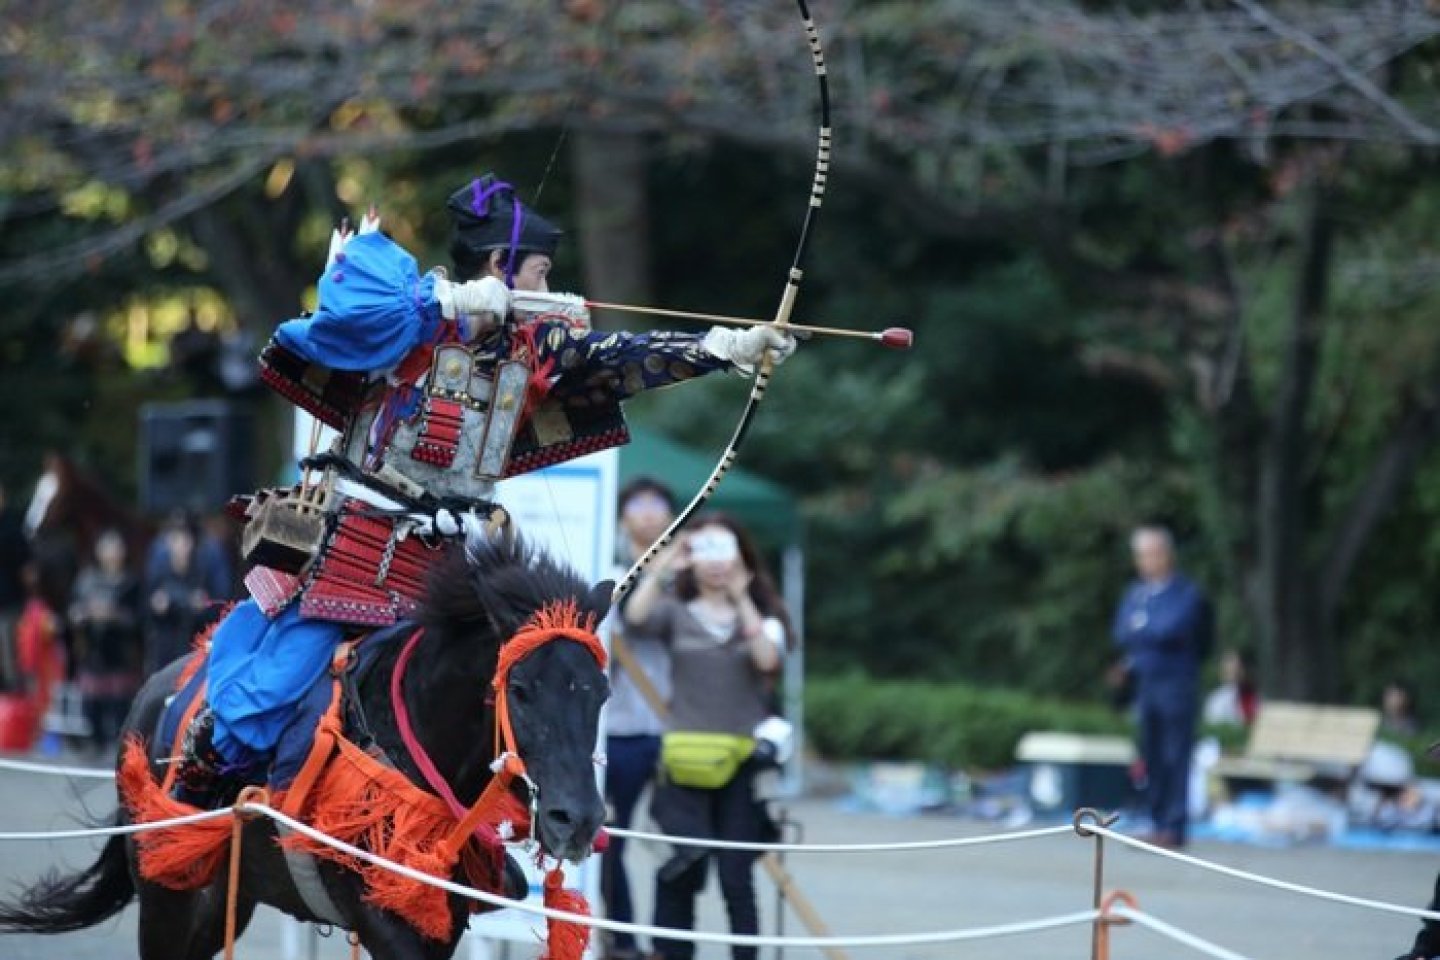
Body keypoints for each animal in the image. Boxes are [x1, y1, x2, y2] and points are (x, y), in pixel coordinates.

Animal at [0, 538, 613, 960]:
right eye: (521, 690)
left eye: (601, 693)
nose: (577, 819)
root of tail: (149, 693)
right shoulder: (383, 920)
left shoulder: (439, 919)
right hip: (167, 890)